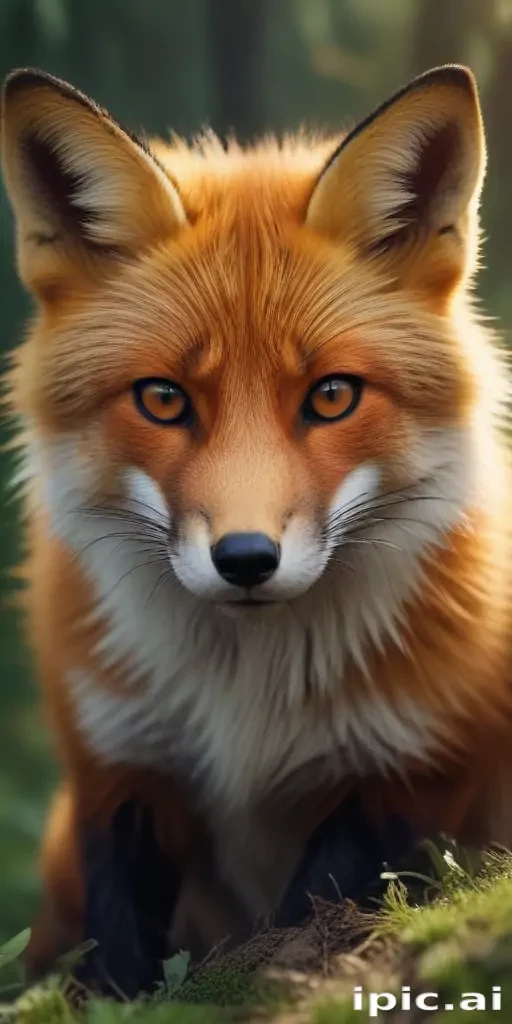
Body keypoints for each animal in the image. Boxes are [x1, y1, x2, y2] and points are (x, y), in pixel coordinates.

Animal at [1, 63, 511, 995]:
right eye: (163, 399)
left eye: (332, 395)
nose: (245, 560)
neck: (248, 699)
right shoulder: (118, 770)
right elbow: (122, 961)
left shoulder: (410, 771)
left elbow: (296, 923)